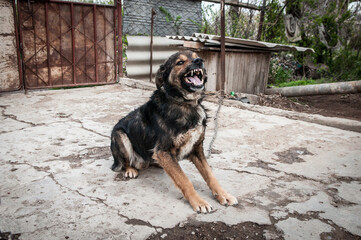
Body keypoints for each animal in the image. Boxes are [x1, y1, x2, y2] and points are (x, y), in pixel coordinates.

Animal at [111, 50, 238, 212]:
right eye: (180, 62)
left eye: (197, 57)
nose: (199, 61)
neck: (186, 104)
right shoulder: (163, 151)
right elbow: (184, 180)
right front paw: (199, 202)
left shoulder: (196, 149)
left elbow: (210, 175)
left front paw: (223, 195)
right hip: (119, 135)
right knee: (125, 162)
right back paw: (130, 170)